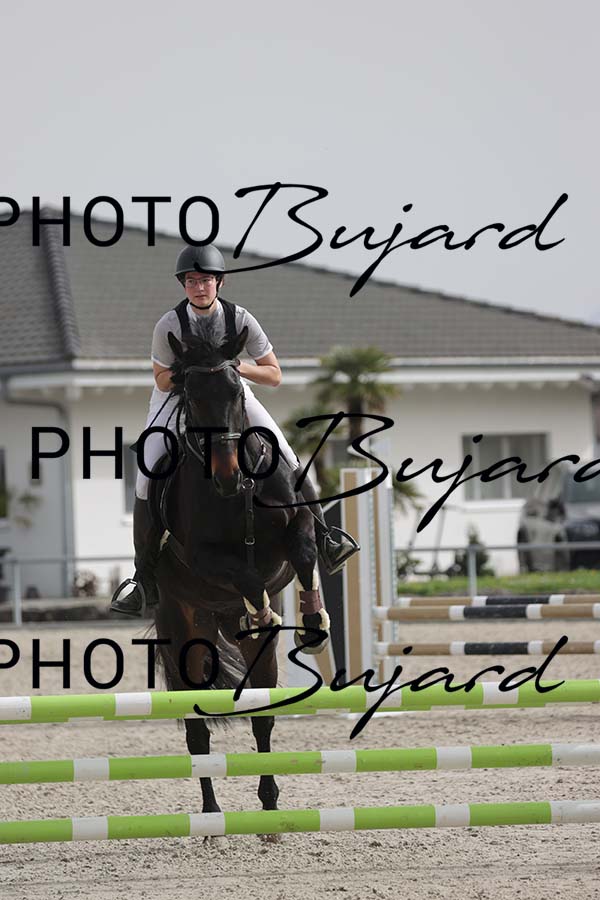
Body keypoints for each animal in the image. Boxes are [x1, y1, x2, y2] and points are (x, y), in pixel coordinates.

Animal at [149, 321, 329, 841]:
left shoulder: (298, 526)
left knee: (262, 717)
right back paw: (211, 818)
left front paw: (312, 622)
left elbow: (304, 551)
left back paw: (269, 810)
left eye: (235, 391)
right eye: (190, 396)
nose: (227, 477)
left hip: (252, 659)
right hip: (182, 629)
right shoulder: (203, 557)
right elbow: (244, 574)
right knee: (198, 731)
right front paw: (263, 608)